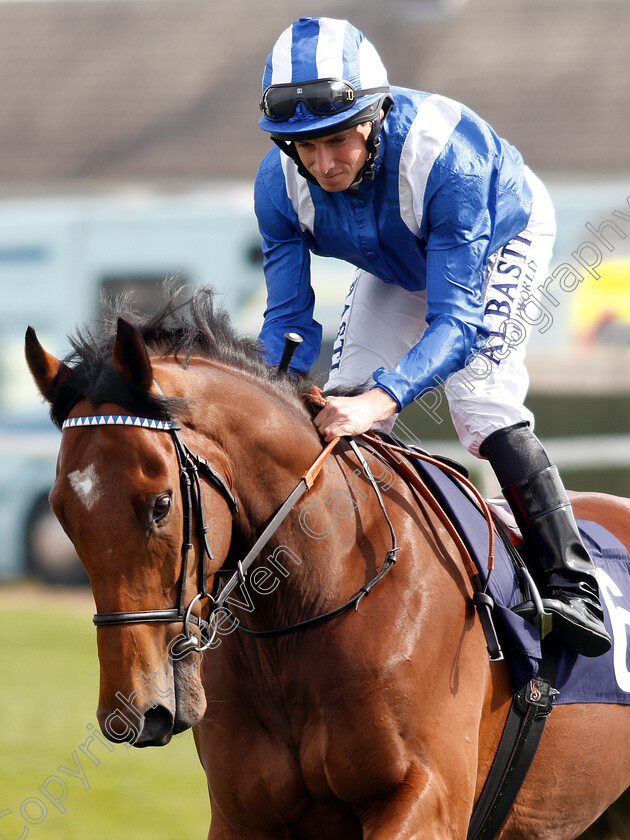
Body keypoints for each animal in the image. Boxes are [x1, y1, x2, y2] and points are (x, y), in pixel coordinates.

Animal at [27, 290, 630, 840]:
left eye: (160, 504)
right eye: (62, 513)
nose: (135, 711)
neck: (308, 606)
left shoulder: (429, 800)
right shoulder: (243, 817)